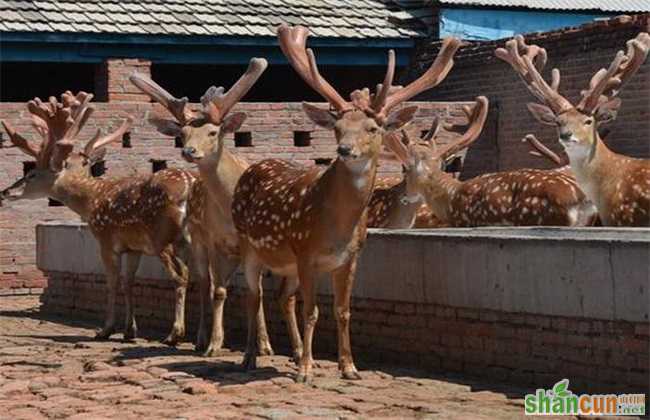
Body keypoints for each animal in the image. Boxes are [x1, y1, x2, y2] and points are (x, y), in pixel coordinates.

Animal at [1, 92, 195, 344]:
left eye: (32, 174)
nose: (5, 192)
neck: (91, 200)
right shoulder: (134, 247)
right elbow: (128, 281)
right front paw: (130, 331)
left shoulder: (106, 239)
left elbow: (112, 281)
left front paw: (106, 329)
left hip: (163, 237)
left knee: (181, 276)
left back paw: (174, 334)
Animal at [129, 57, 274, 356]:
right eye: (183, 133)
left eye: (213, 131)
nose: (189, 151)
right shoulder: (215, 240)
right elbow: (217, 291)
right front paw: (215, 344)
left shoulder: (252, 242)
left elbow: (257, 290)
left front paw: (265, 346)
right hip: (197, 241)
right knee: (205, 283)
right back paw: (200, 338)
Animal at [230, 24, 458, 382]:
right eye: (337, 128)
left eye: (373, 127)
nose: (344, 150)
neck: (337, 228)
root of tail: (252, 168)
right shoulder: (305, 252)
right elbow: (312, 311)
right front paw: (306, 372)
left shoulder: (350, 258)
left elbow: (343, 310)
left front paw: (349, 367)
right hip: (248, 245)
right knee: (254, 297)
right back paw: (251, 357)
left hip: (286, 263)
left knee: (282, 297)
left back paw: (295, 353)